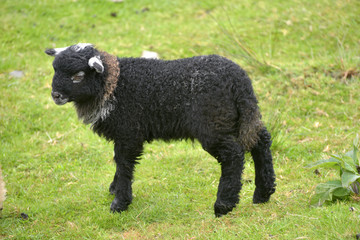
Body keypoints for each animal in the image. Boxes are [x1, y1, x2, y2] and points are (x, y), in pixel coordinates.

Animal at [45, 43, 276, 218]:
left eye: (78, 75)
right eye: (55, 70)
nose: (56, 95)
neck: (113, 85)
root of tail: (240, 81)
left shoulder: (129, 132)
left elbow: (124, 164)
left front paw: (120, 202)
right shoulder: (125, 134)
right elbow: (120, 163)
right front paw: (114, 189)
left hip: (213, 125)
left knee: (233, 155)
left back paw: (223, 205)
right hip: (240, 117)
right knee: (261, 141)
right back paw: (263, 193)